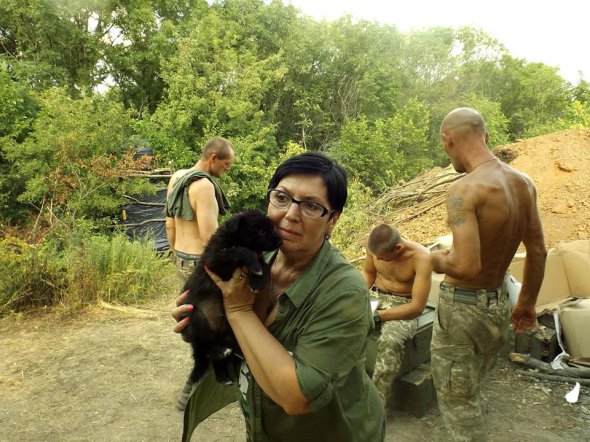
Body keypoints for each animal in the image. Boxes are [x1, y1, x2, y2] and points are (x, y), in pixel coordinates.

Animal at [180, 207, 282, 384]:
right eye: (261, 232)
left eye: (272, 228)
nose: (280, 242)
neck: (234, 238)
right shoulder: (213, 261)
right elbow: (239, 251)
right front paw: (254, 266)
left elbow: (263, 264)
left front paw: (258, 280)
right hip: (196, 316)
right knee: (203, 344)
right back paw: (219, 352)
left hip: (230, 331)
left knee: (219, 355)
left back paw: (225, 371)